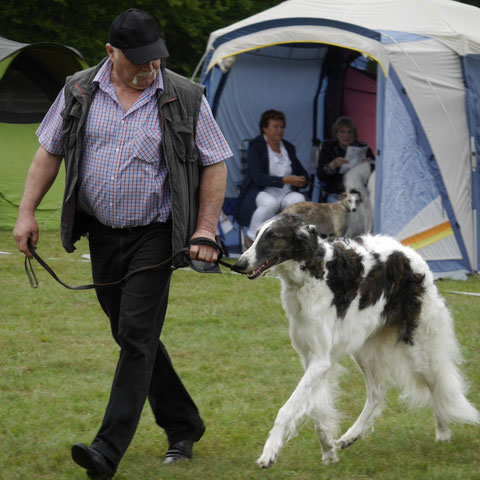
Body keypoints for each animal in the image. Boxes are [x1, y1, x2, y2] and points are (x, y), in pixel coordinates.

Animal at [232, 215, 476, 468]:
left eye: (272, 236)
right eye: (256, 235)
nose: (238, 264)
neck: (312, 274)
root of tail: (411, 254)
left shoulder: (320, 360)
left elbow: (287, 409)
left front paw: (269, 452)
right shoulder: (312, 358)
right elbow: (318, 412)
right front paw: (329, 451)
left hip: (419, 349)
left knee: (437, 385)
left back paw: (443, 433)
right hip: (365, 349)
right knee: (377, 394)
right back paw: (351, 435)